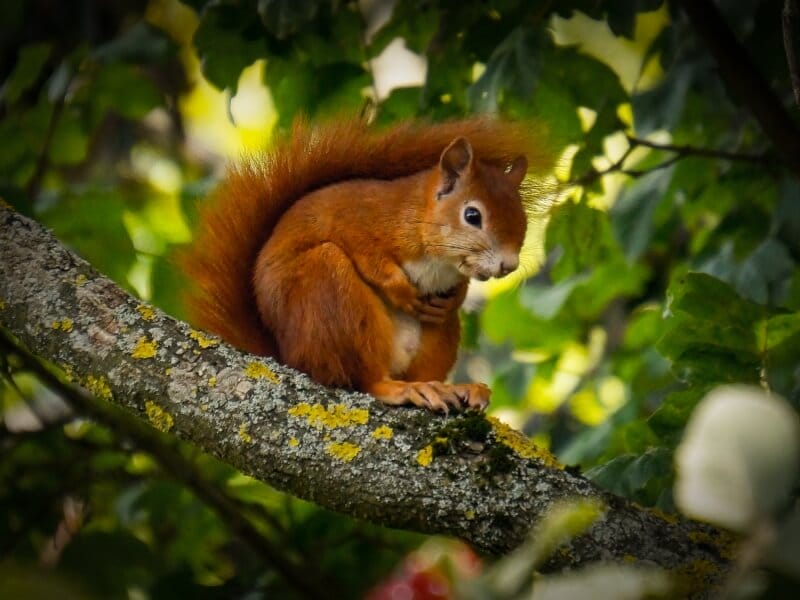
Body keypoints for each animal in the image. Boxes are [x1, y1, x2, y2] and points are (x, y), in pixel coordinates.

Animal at [181, 119, 548, 414]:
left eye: (522, 219)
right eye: (472, 215)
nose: (508, 265)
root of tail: (287, 355)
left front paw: (452, 299)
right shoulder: (354, 220)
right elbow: (370, 258)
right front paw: (400, 290)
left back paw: (451, 387)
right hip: (328, 290)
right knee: (362, 380)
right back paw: (401, 389)